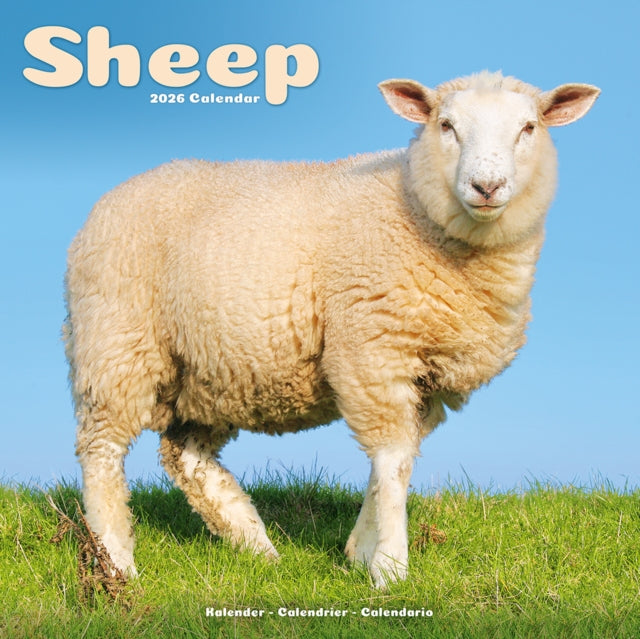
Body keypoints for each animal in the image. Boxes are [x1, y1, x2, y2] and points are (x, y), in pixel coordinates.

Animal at [63, 71, 600, 588]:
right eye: (446, 125)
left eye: (528, 128)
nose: (486, 187)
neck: (415, 209)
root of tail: (107, 201)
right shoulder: (372, 349)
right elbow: (393, 460)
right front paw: (390, 567)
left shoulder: (425, 380)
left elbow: (396, 463)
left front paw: (360, 552)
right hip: (116, 344)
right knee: (101, 452)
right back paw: (117, 562)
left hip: (210, 370)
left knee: (187, 458)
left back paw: (256, 546)